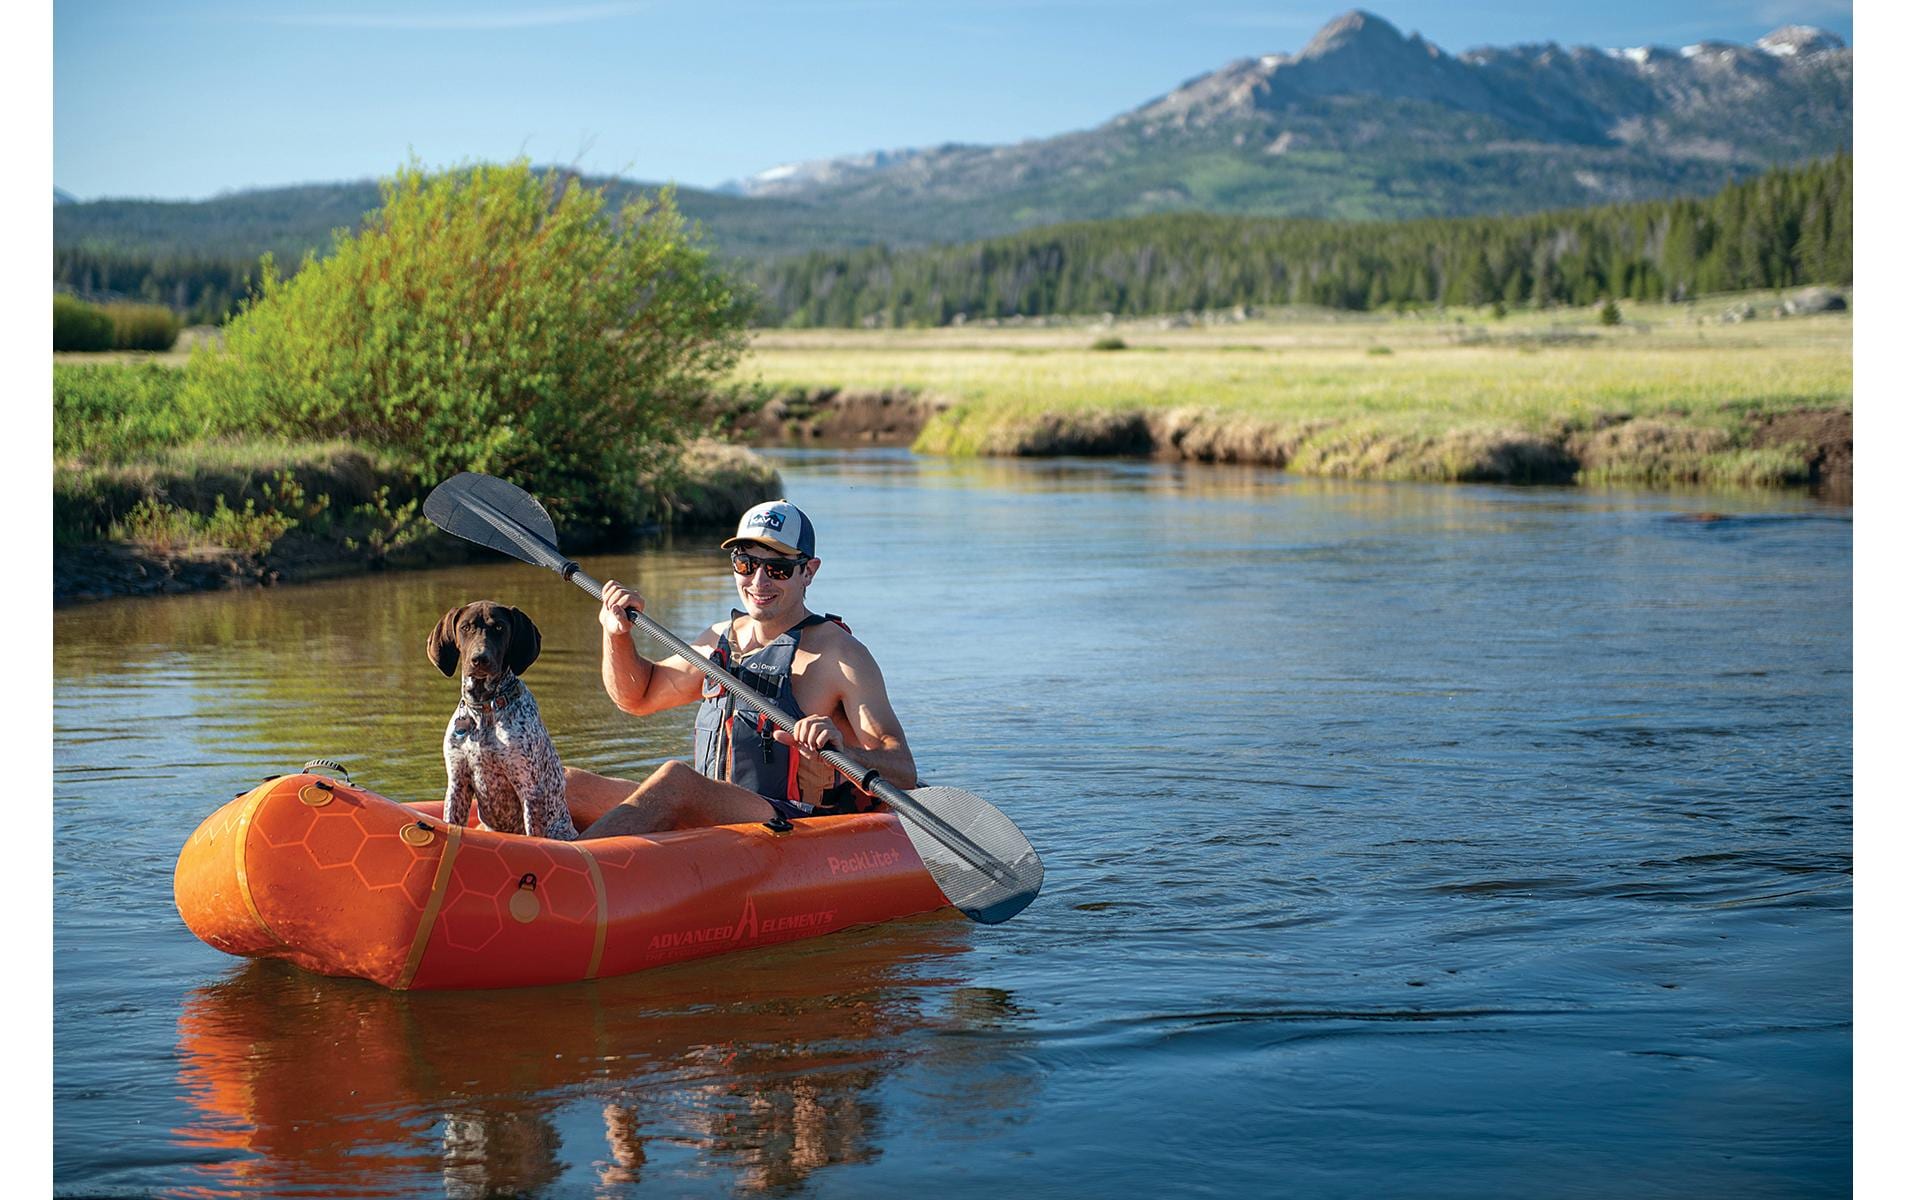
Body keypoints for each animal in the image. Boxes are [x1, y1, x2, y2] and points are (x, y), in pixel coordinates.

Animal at [428, 605, 575, 841]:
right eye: (465, 627)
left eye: (499, 627)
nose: (480, 659)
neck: (484, 708)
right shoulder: (457, 784)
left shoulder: (530, 789)